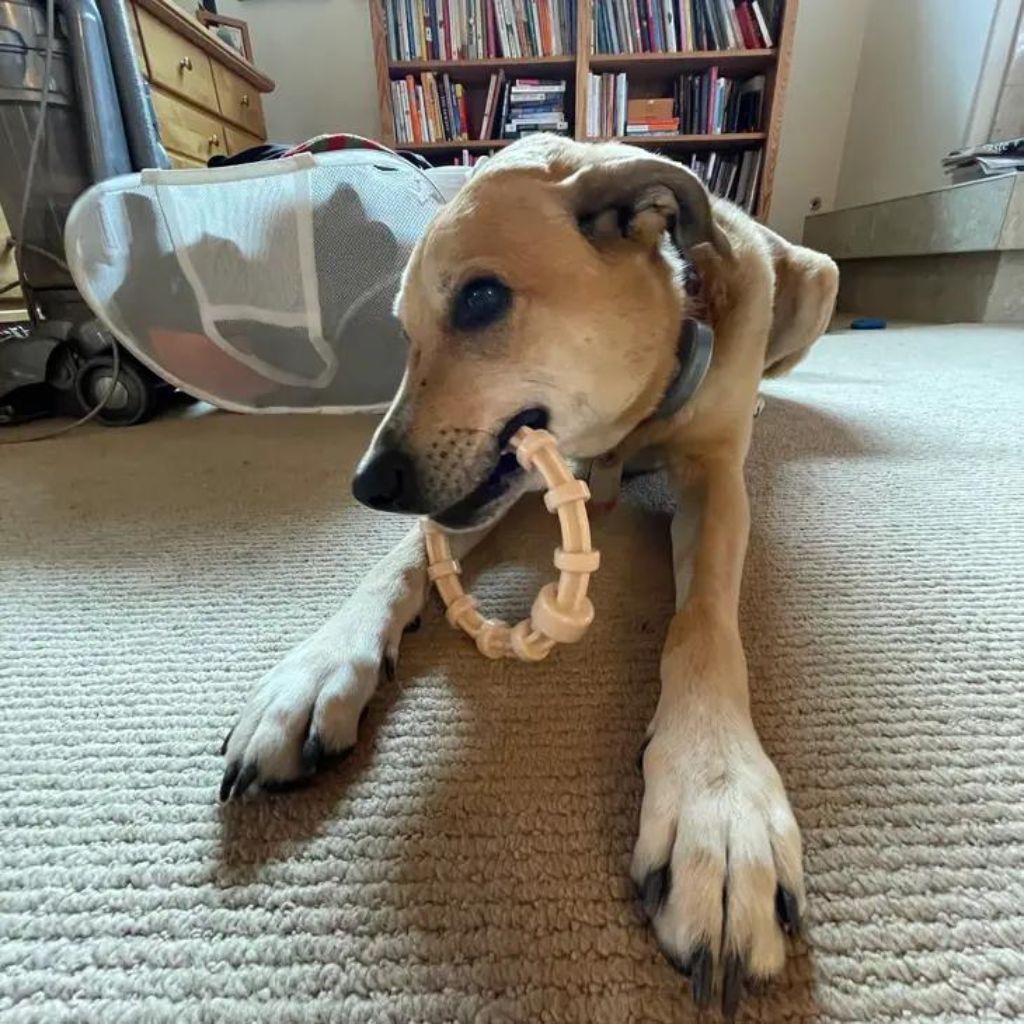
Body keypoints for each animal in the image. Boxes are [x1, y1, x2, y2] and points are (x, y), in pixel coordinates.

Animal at [222, 134, 839, 1015]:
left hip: (818, 279)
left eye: (481, 298)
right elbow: (398, 560)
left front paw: (717, 801)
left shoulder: (715, 478)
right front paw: (314, 671)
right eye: (403, 332)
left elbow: (703, 626)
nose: (367, 485)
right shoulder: (495, 483)